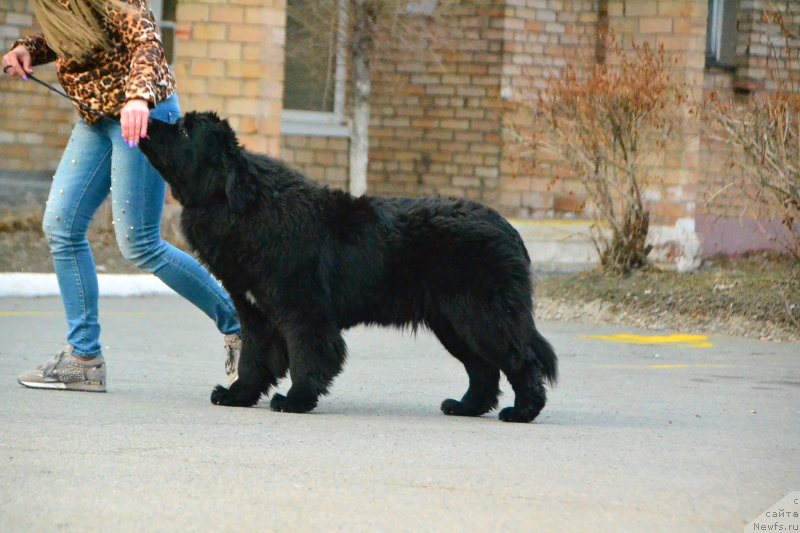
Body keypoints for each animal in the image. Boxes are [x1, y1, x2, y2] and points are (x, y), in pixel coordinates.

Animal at [138, 111, 560, 420]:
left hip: (483, 316)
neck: (242, 207)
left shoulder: (303, 312)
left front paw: (295, 400)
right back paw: (466, 407)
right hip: (453, 322)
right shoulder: (254, 311)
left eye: (184, 131)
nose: (147, 120)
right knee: (484, 369)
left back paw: (522, 411)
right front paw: (238, 395)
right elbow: (254, 359)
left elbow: (307, 357)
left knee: (521, 359)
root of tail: (508, 228)